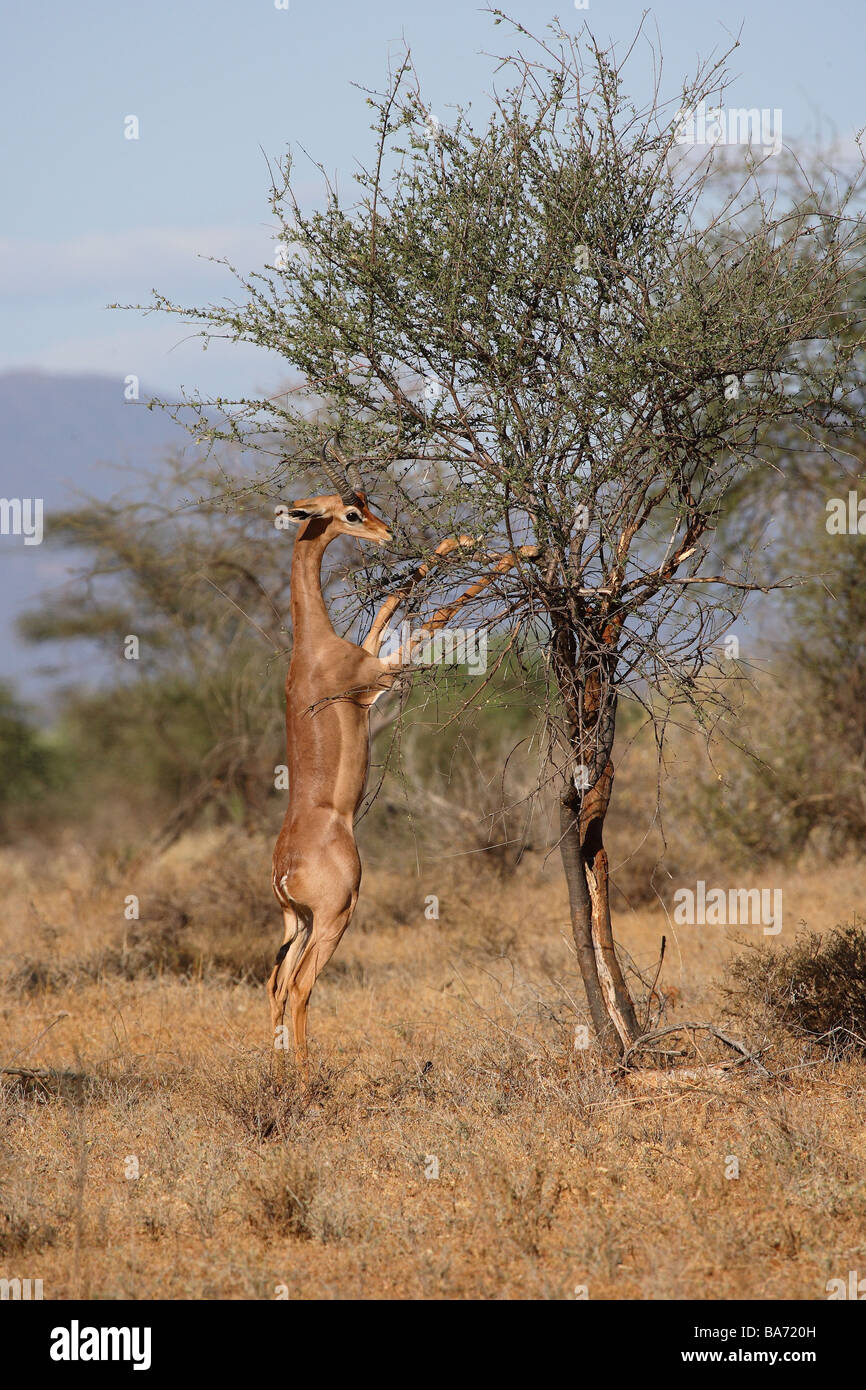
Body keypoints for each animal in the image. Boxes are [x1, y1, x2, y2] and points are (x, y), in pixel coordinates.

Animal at [269, 440, 538, 1083]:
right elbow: (434, 619)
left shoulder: (374, 653)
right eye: (349, 512)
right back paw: (308, 1079)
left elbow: (398, 595)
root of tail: (283, 873)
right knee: (300, 988)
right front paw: (525, 551)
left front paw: (463, 541)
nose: (386, 531)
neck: (313, 646)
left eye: (365, 502)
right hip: (335, 917)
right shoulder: (382, 674)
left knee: (275, 984)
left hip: (297, 923)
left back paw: (280, 1070)